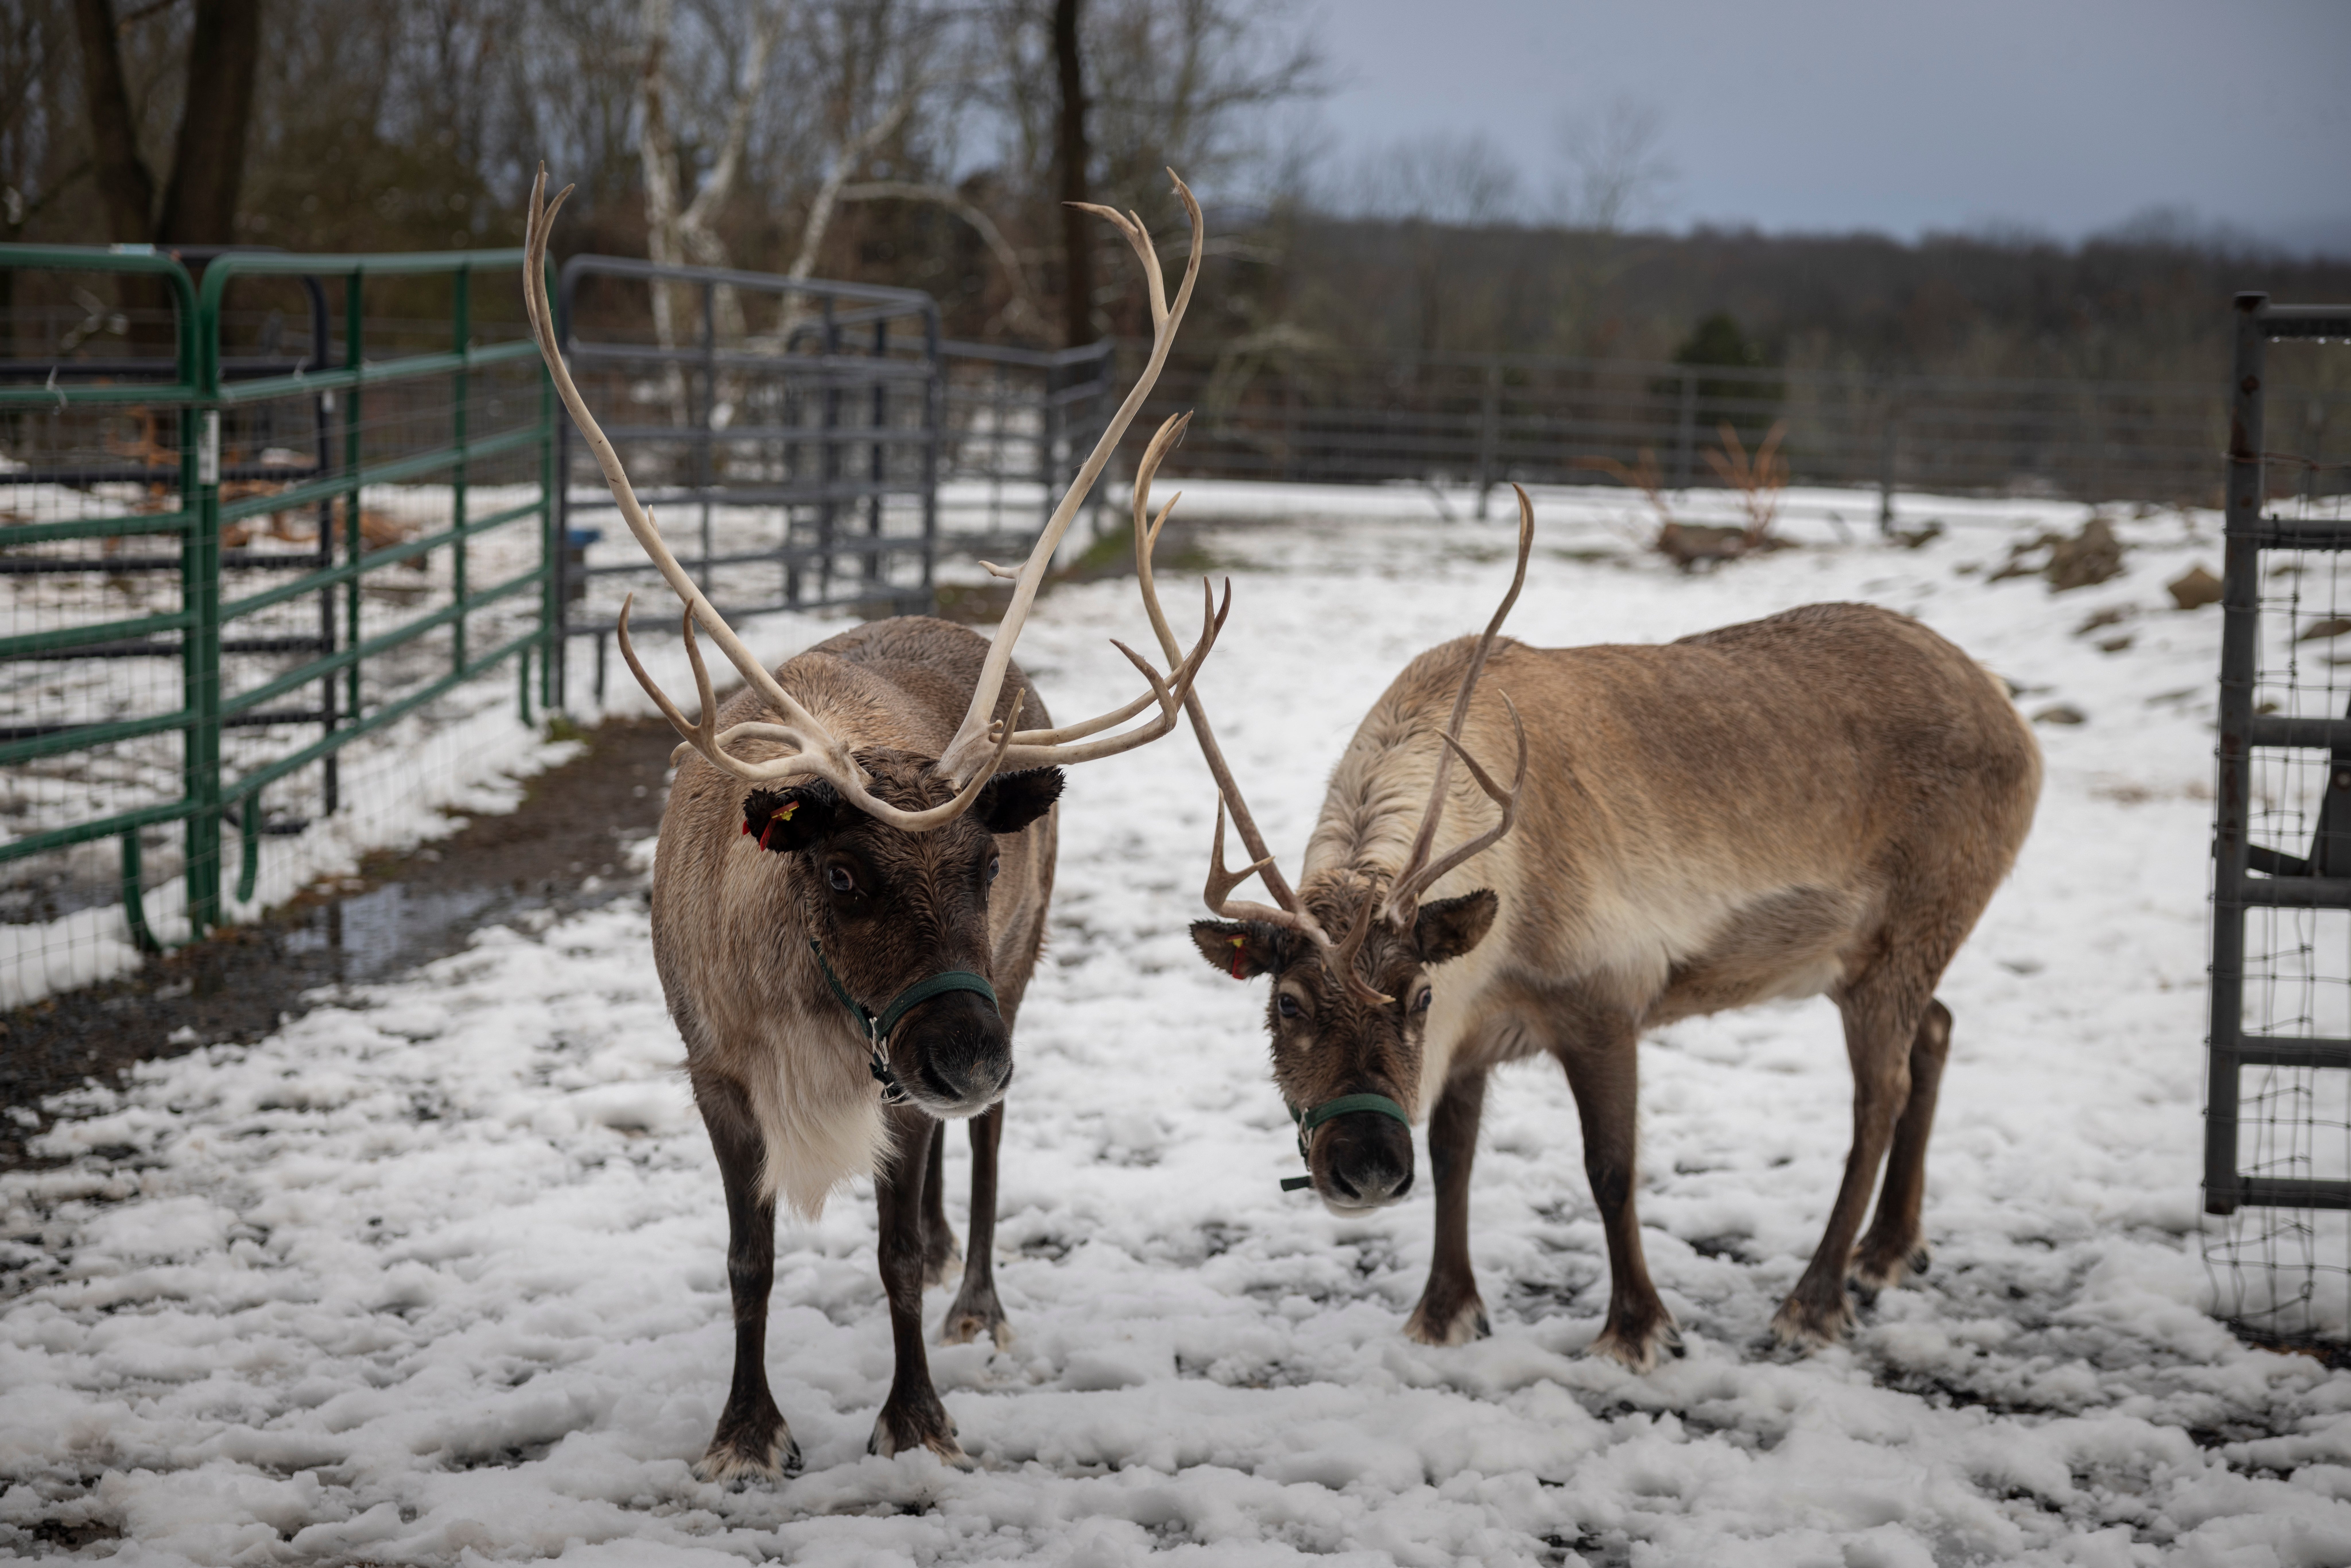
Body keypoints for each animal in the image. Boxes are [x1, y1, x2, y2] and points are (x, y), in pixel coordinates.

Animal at [522, 166, 1226, 1477]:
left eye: (984, 860)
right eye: (842, 874)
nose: (971, 1053)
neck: (807, 1009)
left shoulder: (923, 1046)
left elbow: (893, 1253)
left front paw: (915, 1417)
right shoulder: (716, 1069)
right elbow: (747, 1259)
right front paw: (745, 1430)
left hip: (1017, 975)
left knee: (983, 1145)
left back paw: (976, 1294)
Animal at [1179, 484, 2040, 1370]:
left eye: (1416, 995)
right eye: (1287, 1001)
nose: (1369, 1168)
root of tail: (2011, 712)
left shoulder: (1603, 996)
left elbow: (1612, 1168)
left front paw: (1639, 1326)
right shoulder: (1475, 1034)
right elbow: (1457, 1159)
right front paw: (1445, 1311)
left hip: (1910, 931)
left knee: (1879, 1096)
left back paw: (1815, 1299)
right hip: (1865, 956)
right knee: (1936, 1030)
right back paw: (1890, 1249)